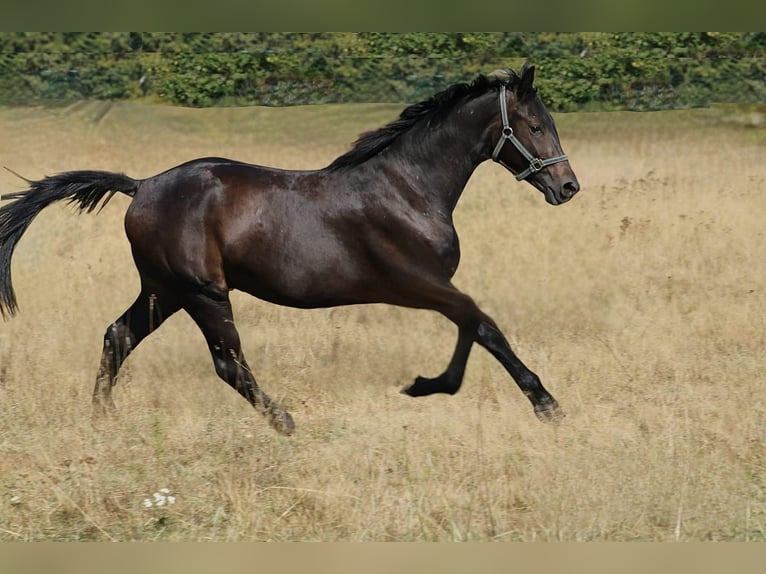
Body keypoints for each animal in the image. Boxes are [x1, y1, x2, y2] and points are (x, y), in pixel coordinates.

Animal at [0, 65, 580, 434]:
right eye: (534, 125)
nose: (568, 187)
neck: (407, 187)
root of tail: (140, 186)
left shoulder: (429, 287)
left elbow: (472, 325)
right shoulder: (419, 282)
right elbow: (482, 324)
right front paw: (541, 403)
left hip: (163, 290)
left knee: (118, 336)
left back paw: (103, 420)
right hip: (202, 292)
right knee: (227, 362)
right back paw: (284, 421)